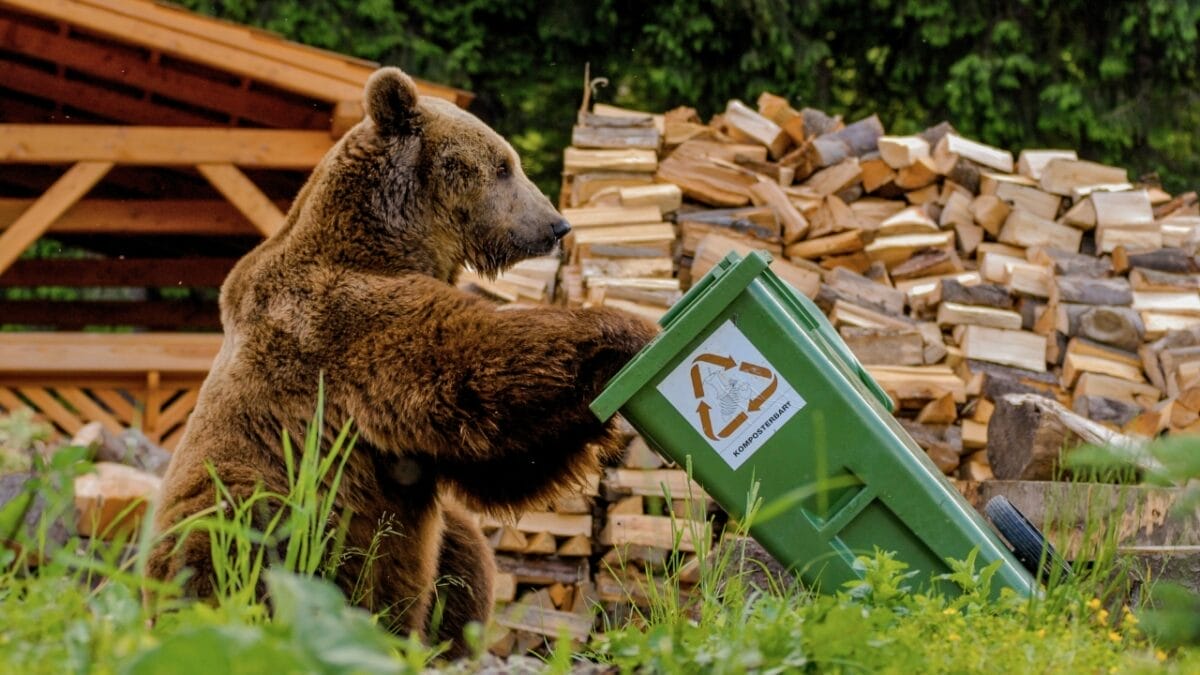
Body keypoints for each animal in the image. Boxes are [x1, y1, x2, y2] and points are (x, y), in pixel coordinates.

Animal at [147, 66, 657, 658]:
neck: (392, 240)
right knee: (230, 544)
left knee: (462, 551)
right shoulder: (346, 326)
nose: (556, 226)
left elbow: (500, 463)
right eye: (503, 165)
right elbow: (474, 371)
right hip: (259, 502)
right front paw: (630, 330)